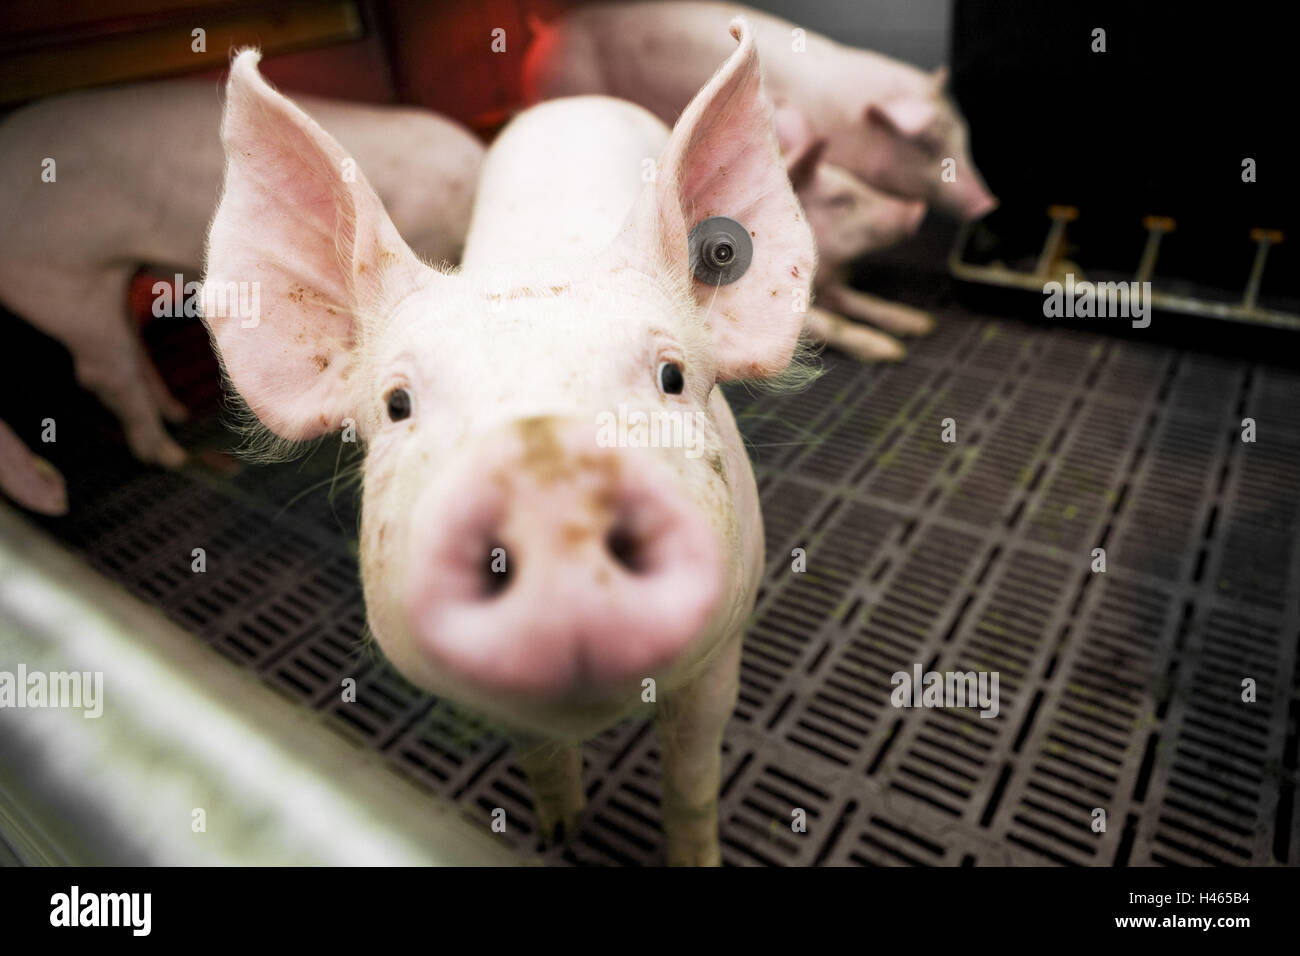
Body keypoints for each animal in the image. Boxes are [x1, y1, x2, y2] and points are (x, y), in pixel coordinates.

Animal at [200, 20, 811, 868]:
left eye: (672, 377)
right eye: (397, 405)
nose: (548, 480)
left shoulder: (722, 652)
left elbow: (692, 776)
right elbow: (538, 754)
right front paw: (558, 832)